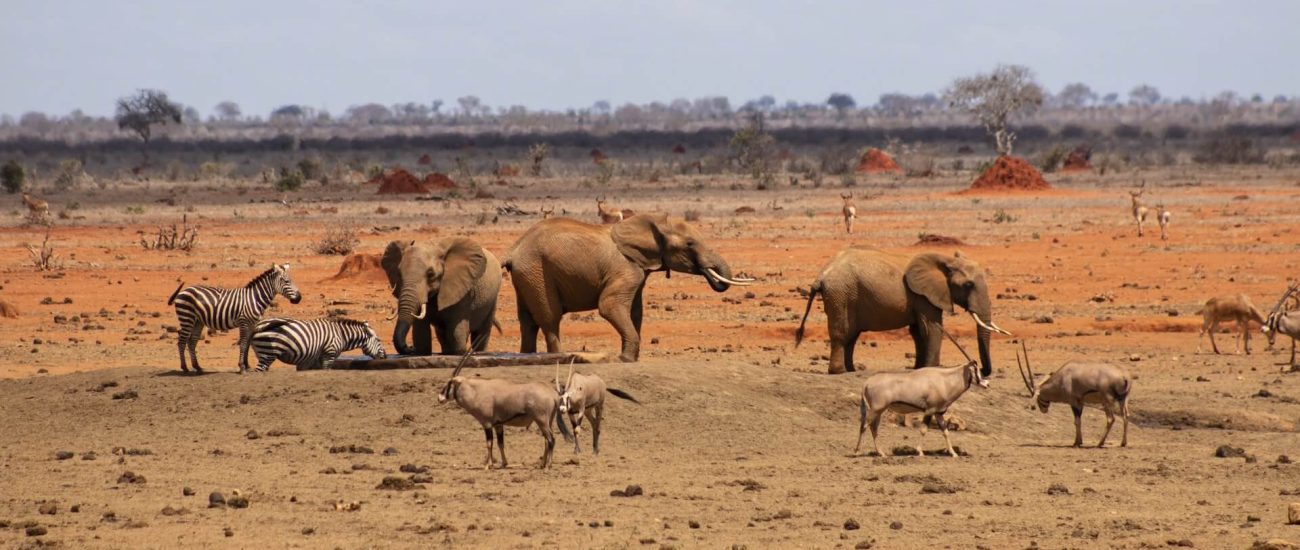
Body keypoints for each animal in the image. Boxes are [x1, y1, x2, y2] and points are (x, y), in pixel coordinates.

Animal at [163, 263, 300, 374]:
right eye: (286, 281)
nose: (299, 298)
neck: (254, 298)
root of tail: (184, 290)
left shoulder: (253, 324)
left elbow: (248, 344)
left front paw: (247, 365)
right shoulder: (244, 322)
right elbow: (243, 344)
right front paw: (242, 367)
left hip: (198, 321)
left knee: (192, 341)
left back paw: (197, 367)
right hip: (187, 317)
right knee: (181, 342)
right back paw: (185, 368)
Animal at [249, 315, 384, 371]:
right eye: (378, 340)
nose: (384, 356)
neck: (341, 334)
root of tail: (257, 326)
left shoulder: (313, 358)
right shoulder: (329, 354)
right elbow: (326, 371)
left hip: (263, 354)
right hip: (267, 353)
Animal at [439, 353, 572, 470]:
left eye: (450, 382)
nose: (440, 398)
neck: (477, 391)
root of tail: (553, 394)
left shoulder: (487, 424)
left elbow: (489, 443)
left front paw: (487, 466)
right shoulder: (498, 425)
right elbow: (500, 443)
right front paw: (503, 463)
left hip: (541, 420)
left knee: (551, 439)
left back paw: (548, 466)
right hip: (547, 421)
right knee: (546, 440)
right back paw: (542, 464)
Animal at [785, 247, 1008, 377]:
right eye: (968, 285)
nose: (981, 369)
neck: (944, 259)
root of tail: (822, 275)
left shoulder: (920, 297)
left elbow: (918, 332)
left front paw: (919, 369)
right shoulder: (924, 295)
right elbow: (931, 329)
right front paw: (932, 369)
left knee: (852, 335)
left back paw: (851, 370)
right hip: (841, 294)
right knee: (842, 333)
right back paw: (838, 372)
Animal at [852, 328, 982, 457]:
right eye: (976, 369)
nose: (985, 383)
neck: (944, 380)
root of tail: (867, 382)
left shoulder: (938, 413)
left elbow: (945, 432)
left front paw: (953, 453)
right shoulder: (930, 410)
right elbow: (923, 430)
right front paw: (919, 451)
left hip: (878, 411)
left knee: (873, 428)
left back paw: (881, 453)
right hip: (876, 409)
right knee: (865, 426)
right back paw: (857, 451)